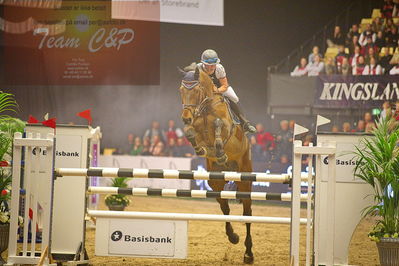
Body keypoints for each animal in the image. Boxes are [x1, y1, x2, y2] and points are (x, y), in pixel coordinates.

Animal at [179, 67, 255, 262]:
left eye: (196, 90)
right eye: (181, 90)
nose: (186, 118)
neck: (205, 107)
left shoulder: (226, 126)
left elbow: (219, 124)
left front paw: (220, 152)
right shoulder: (196, 127)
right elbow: (190, 133)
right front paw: (200, 149)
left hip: (245, 179)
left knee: (247, 213)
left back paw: (248, 253)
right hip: (215, 182)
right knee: (225, 207)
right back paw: (233, 237)